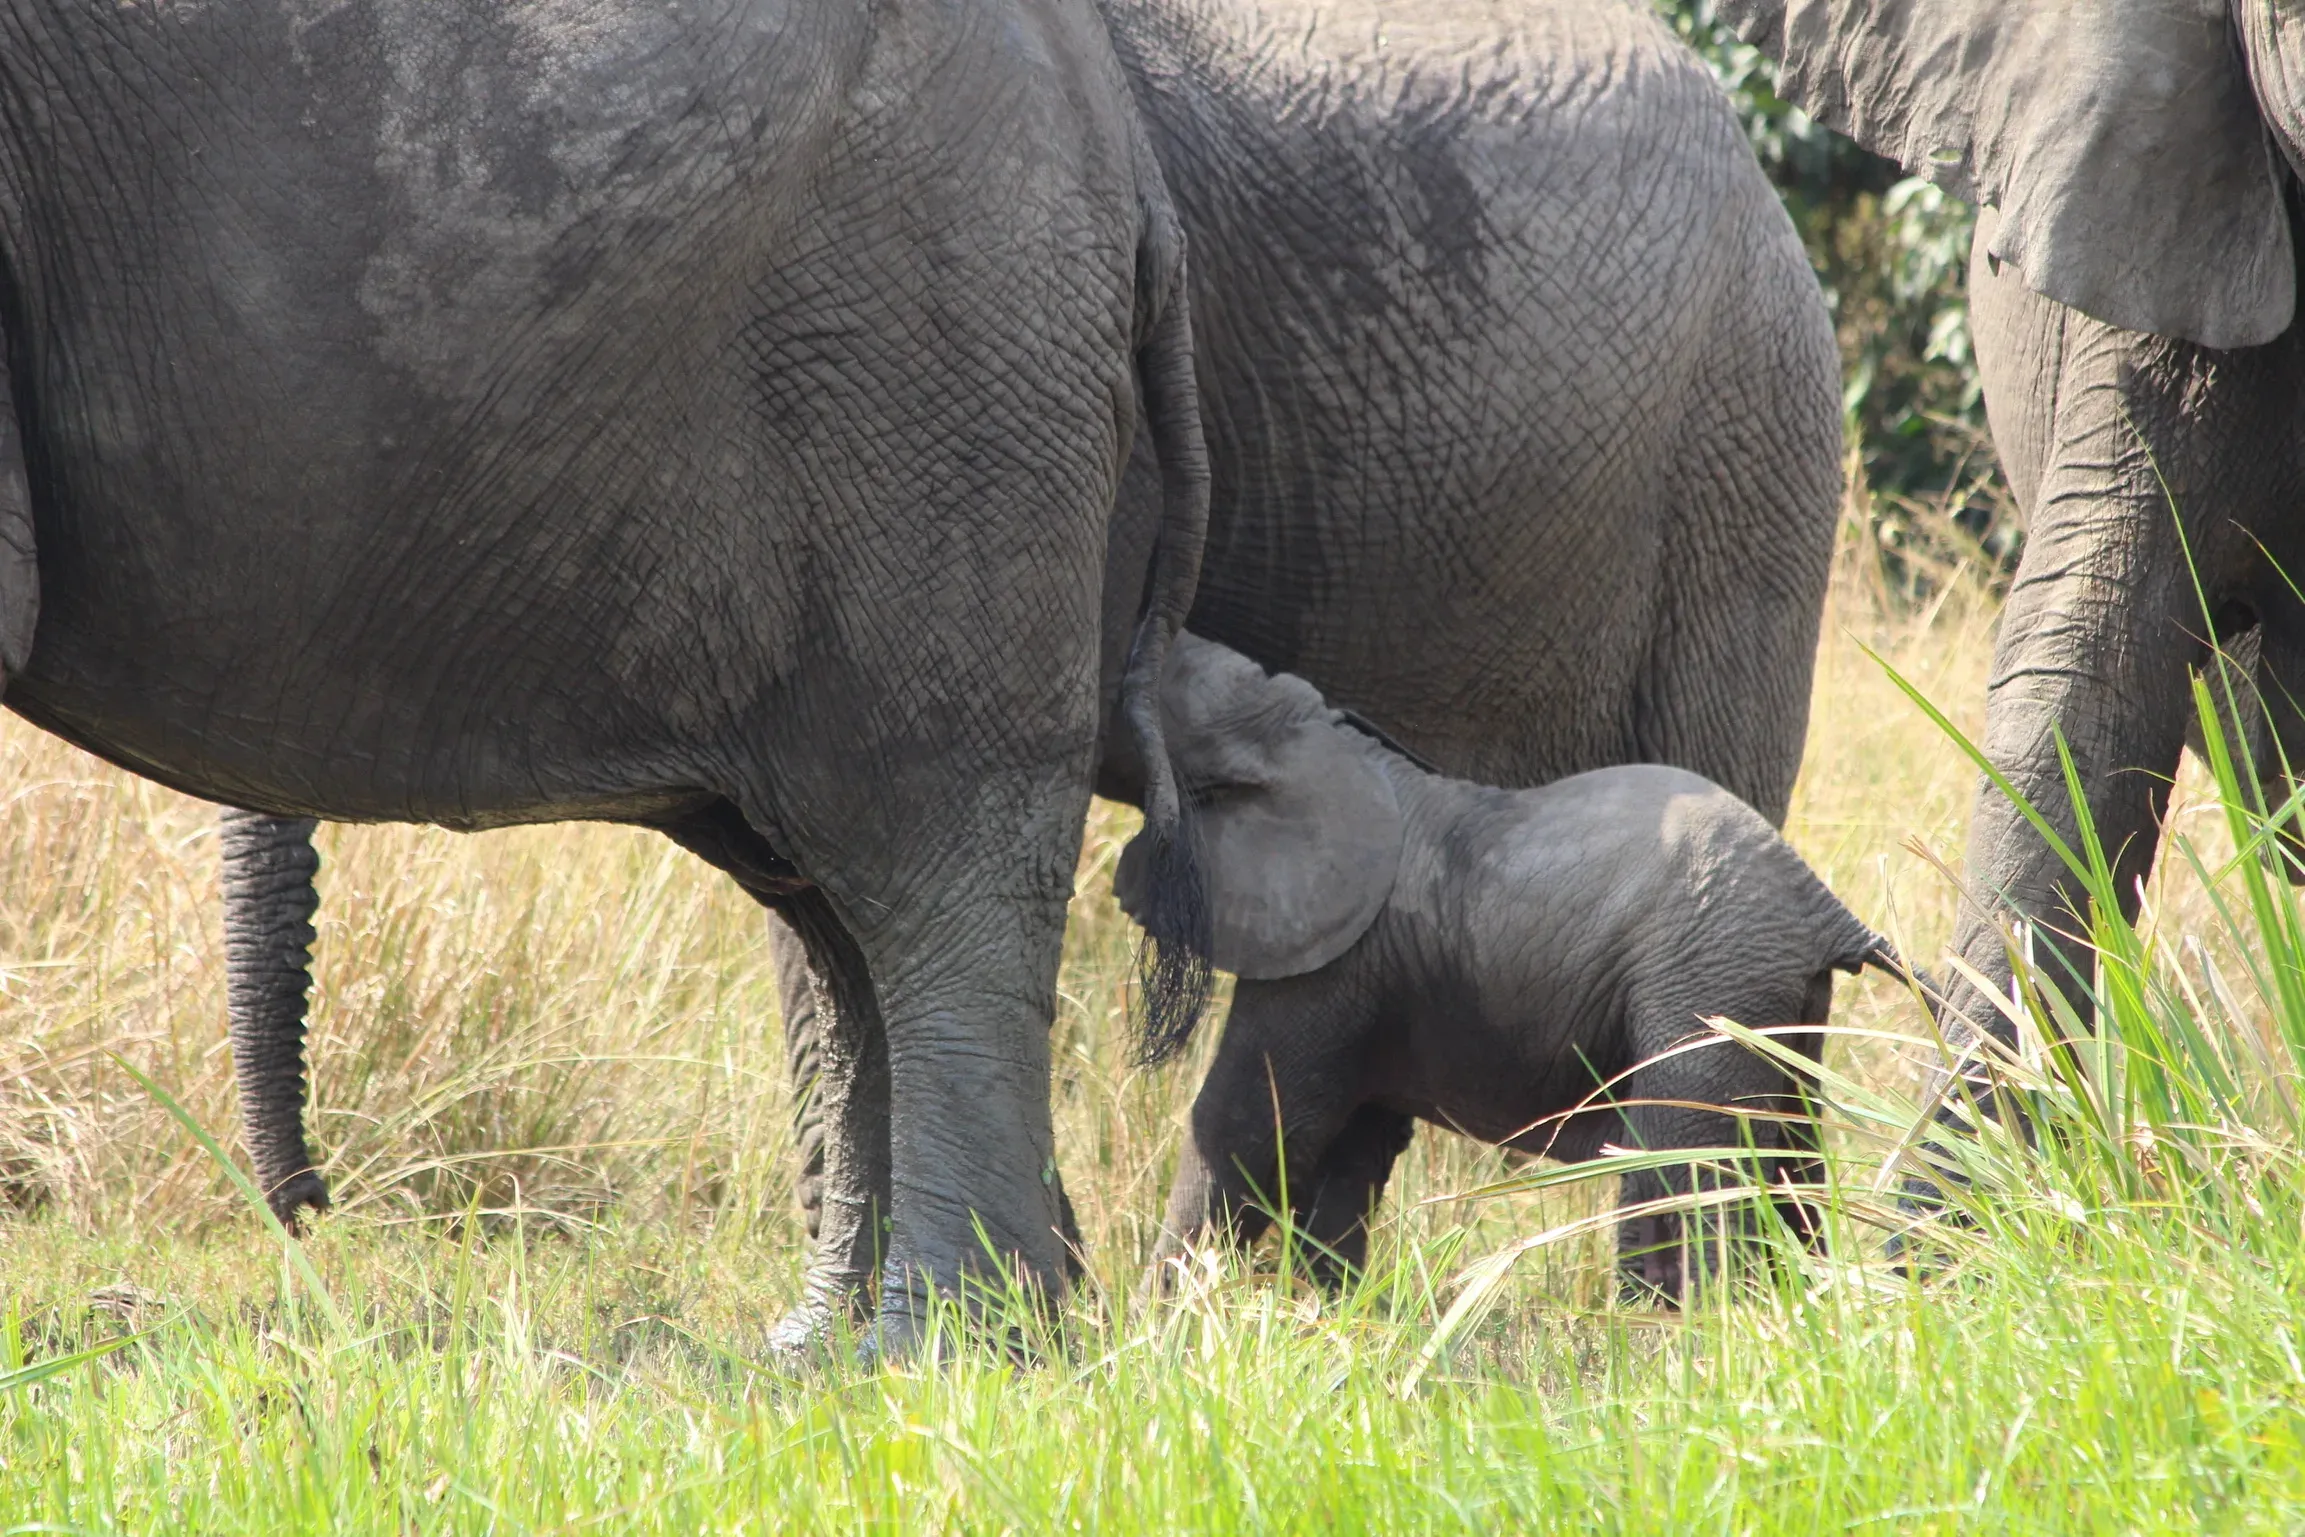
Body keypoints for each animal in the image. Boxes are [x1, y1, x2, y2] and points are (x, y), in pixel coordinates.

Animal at [0, 0, 1217, 1353]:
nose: (311, 1206)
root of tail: (1126, 146)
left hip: (940, 373)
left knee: (938, 859)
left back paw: (937, 1352)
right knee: (835, 907)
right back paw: (821, 1357)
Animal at [1120, 636, 1886, 1298]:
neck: (1322, 739)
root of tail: (1823, 906)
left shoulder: (1339, 959)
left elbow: (1250, 1122)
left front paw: (1152, 1336)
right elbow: (1352, 1145)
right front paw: (1336, 1321)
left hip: (1706, 981)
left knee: (1681, 1164)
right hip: (1776, 1002)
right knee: (1788, 1160)